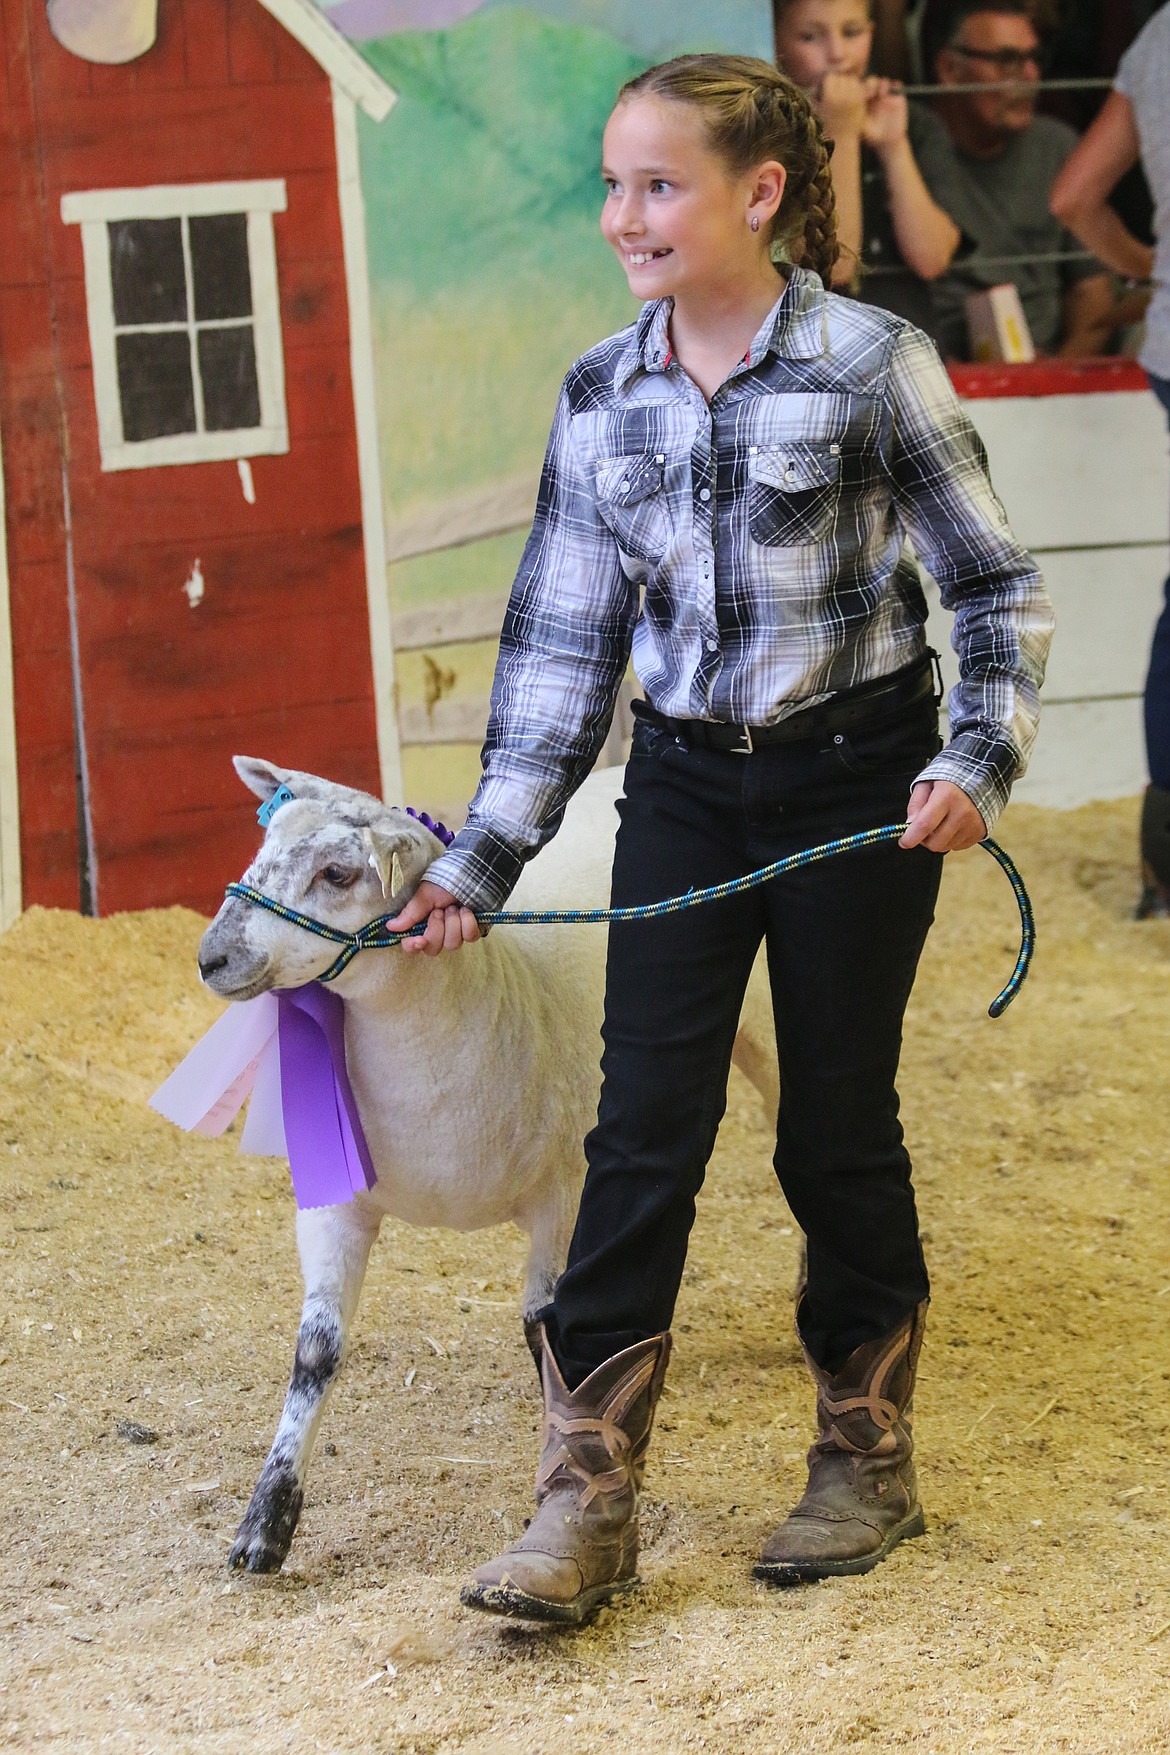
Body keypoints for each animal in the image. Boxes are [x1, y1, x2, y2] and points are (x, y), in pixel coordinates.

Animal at [194, 754, 778, 1579]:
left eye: (338, 872)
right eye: (264, 841)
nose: (212, 956)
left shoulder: (566, 1198)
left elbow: (548, 1331)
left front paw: (567, 1480)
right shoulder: (337, 1202)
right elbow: (315, 1353)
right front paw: (264, 1523)